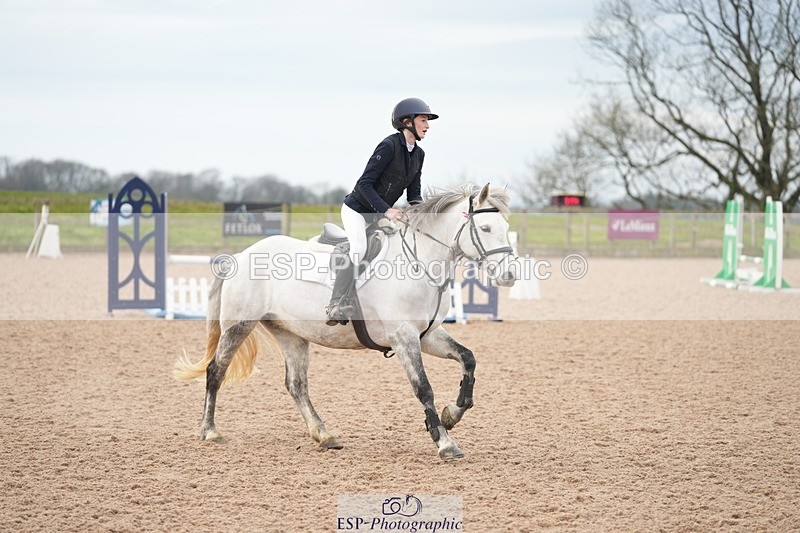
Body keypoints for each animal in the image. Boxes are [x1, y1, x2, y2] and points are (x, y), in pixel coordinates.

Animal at [174, 183, 517, 460]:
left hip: (291, 333)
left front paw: (451, 415)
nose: (509, 275)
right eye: (486, 228)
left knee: (296, 384)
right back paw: (210, 431)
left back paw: (324, 435)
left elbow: (468, 359)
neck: (419, 263)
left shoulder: (427, 335)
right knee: (216, 371)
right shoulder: (404, 337)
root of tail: (241, 255)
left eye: (505, 226)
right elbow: (424, 388)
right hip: (239, 326)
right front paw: (445, 442)